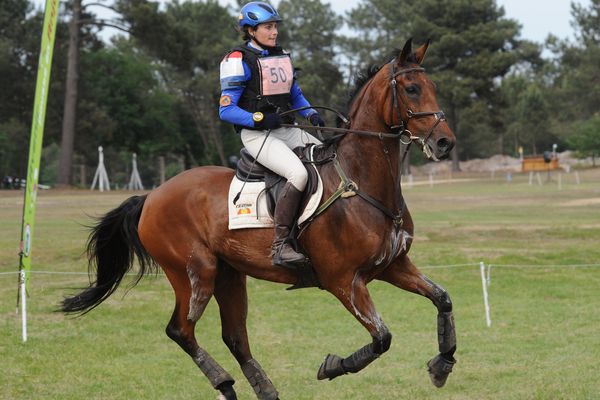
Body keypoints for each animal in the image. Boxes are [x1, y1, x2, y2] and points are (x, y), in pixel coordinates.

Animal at [62, 38, 454, 400]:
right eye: (412, 89)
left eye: (433, 85)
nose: (445, 143)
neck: (361, 182)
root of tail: (151, 197)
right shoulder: (344, 281)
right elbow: (381, 338)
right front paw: (331, 366)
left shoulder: (393, 266)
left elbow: (442, 298)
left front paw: (442, 365)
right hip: (194, 272)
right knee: (181, 330)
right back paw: (224, 383)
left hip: (229, 275)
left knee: (234, 337)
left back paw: (264, 389)